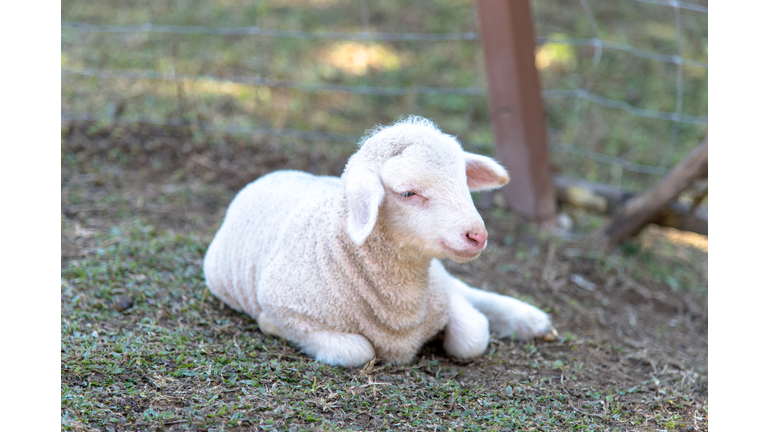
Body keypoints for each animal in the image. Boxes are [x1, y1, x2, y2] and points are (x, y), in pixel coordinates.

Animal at [207, 116, 560, 366]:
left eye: (463, 181)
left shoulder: (441, 293)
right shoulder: (285, 306)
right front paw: (269, 325)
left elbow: (471, 337)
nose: (477, 235)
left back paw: (532, 321)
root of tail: (274, 174)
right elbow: (358, 351)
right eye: (408, 192)